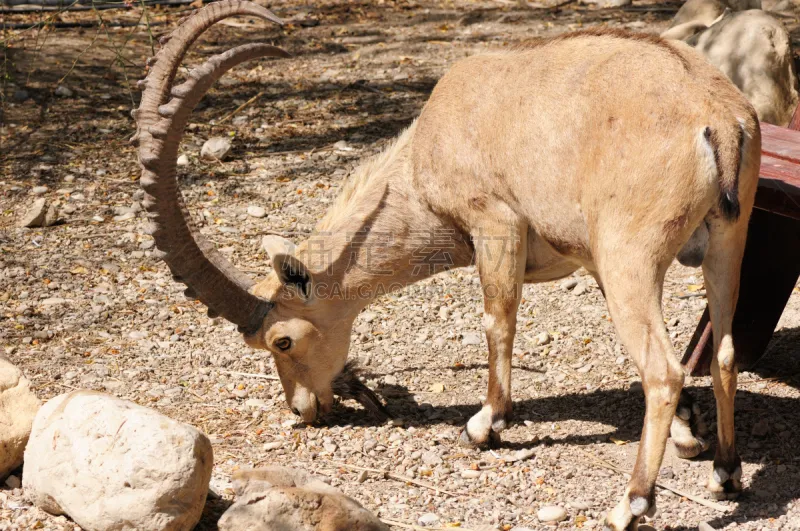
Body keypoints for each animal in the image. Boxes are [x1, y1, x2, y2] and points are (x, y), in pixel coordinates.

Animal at [134, 2, 760, 528]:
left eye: (281, 340)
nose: (306, 409)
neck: (421, 160)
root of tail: (717, 119)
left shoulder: (495, 223)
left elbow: (497, 321)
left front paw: (484, 425)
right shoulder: (590, 261)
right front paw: (690, 436)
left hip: (632, 252)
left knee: (662, 369)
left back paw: (632, 502)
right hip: (726, 242)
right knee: (725, 352)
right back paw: (726, 472)